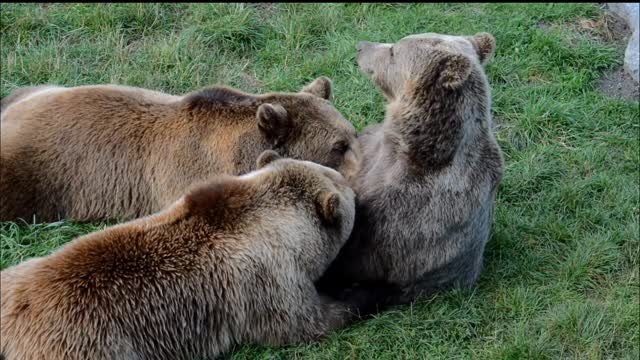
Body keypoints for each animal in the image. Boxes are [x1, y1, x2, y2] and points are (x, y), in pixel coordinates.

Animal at [0, 152, 360, 360]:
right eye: (344, 185)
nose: (353, 186)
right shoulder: (267, 281)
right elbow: (307, 321)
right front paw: (360, 294)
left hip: (14, 276)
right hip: (88, 345)